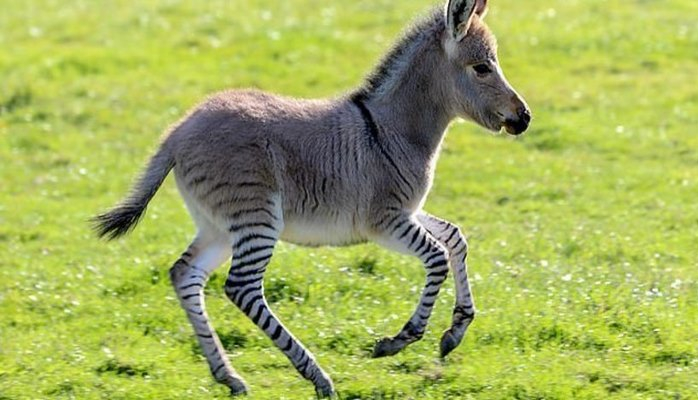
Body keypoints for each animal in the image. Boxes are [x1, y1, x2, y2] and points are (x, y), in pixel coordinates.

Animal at [92, 0, 528, 396]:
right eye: (482, 68)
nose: (525, 118)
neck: (391, 130)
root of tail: (177, 131)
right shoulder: (385, 221)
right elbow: (437, 255)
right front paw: (400, 340)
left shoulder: (407, 212)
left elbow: (455, 237)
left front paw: (456, 329)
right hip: (257, 219)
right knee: (242, 288)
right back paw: (316, 376)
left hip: (217, 226)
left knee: (185, 274)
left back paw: (229, 377)